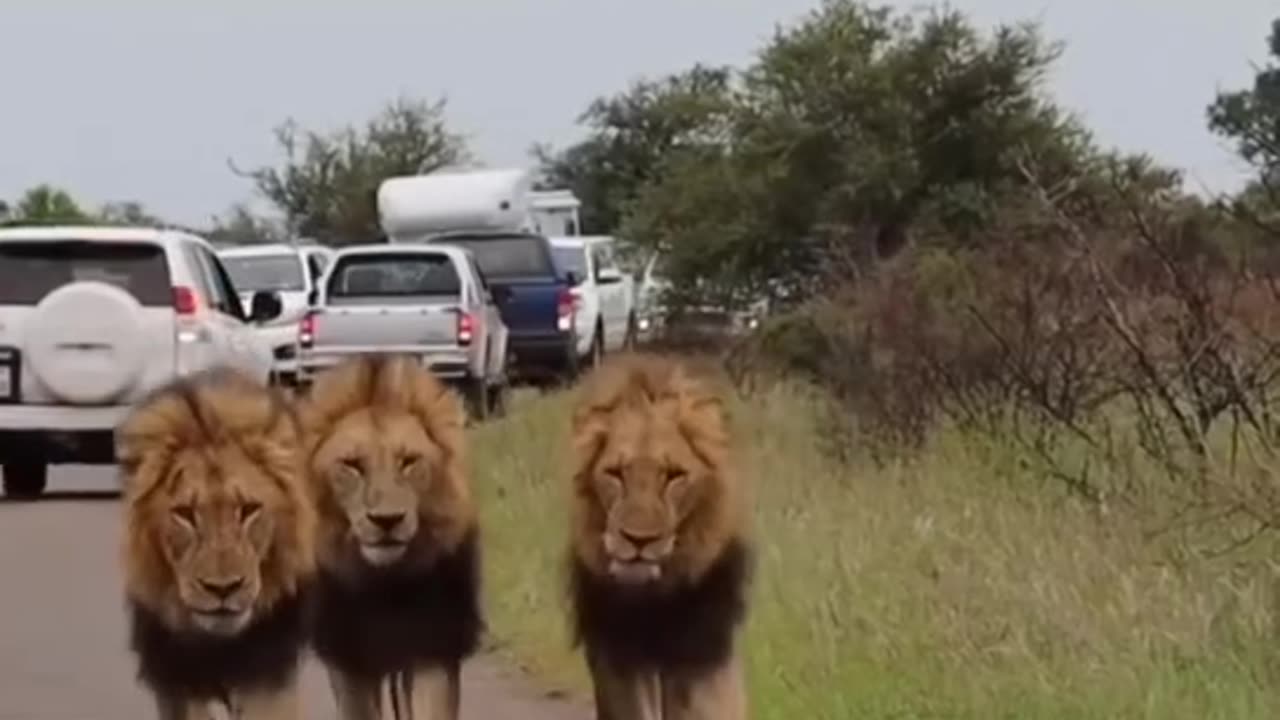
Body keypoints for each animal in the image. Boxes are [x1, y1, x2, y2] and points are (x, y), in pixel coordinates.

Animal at [116, 367, 316, 720]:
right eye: (185, 514)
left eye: (248, 509)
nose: (223, 589)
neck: (220, 649)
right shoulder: (179, 686)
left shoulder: (269, 675)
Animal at [298, 354, 483, 720]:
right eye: (351, 465)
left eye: (409, 461)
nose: (387, 521)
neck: (384, 583)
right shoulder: (348, 661)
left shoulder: (432, 649)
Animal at [567, 352, 753, 720]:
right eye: (615, 474)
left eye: (673, 476)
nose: (639, 540)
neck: (653, 601)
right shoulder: (619, 660)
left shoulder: (700, 656)